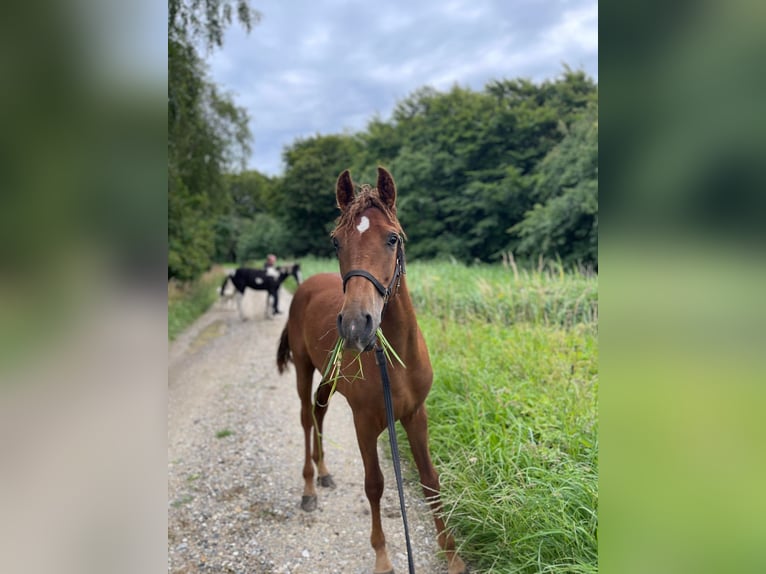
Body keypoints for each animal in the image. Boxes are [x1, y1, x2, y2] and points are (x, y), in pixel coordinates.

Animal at [278, 168, 468, 574]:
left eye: (392, 238)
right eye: (336, 242)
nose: (355, 326)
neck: (395, 362)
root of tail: (305, 285)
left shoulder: (415, 415)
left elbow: (430, 480)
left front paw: (453, 555)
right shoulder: (364, 421)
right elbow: (375, 484)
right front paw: (382, 557)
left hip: (329, 377)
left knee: (318, 411)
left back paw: (325, 473)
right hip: (303, 369)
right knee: (305, 418)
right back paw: (309, 488)